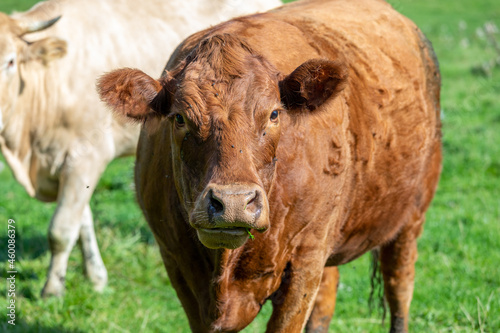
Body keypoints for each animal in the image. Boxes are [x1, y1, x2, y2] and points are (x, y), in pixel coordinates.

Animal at [0, 0, 282, 296]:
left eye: (10, 61)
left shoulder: (86, 156)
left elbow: (61, 229)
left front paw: (52, 290)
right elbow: (82, 220)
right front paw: (95, 276)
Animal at [97, 0, 442, 330]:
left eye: (274, 114)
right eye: (180, 117)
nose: (233, 203)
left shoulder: (304, 262)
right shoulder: (178, 264)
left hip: (410, 218)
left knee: (399, 289)